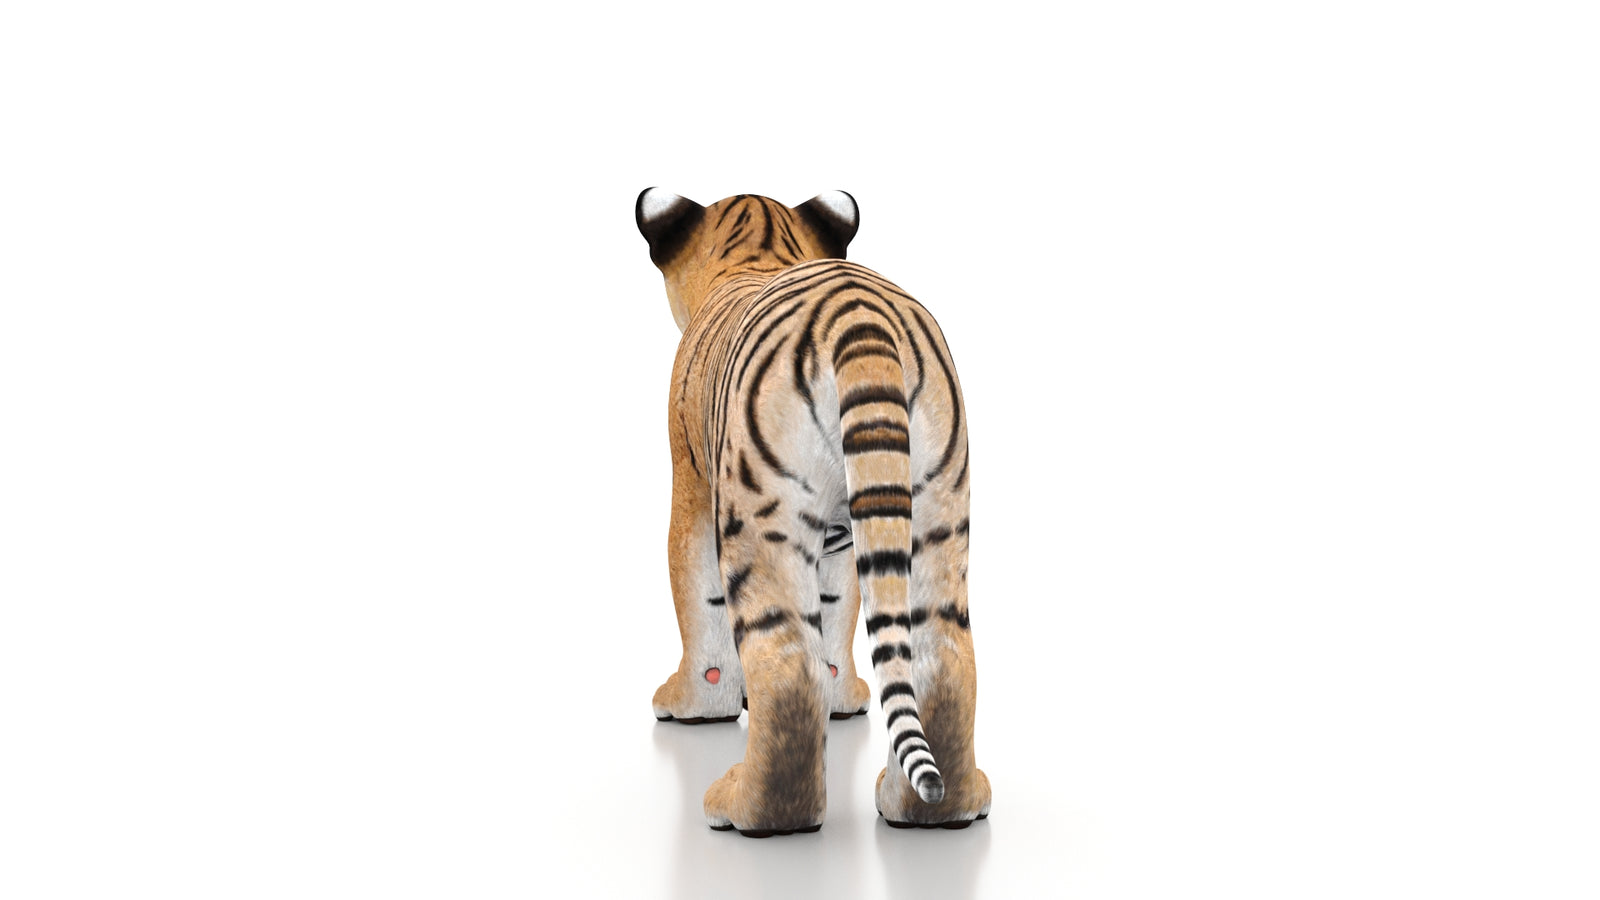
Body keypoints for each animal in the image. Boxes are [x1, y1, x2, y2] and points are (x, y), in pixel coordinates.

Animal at [637, 188, 989, 836]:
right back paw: (937, 808)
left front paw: (696, 704)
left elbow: (698, 599)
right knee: (943, 656)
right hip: (938, 508)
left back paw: (747, 811)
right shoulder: (848, 536)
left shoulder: (693, 488)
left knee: (785, 667)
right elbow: (839, 605)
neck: (756, 256)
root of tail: (860, 316)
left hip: (761, 516)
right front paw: (842, 697)